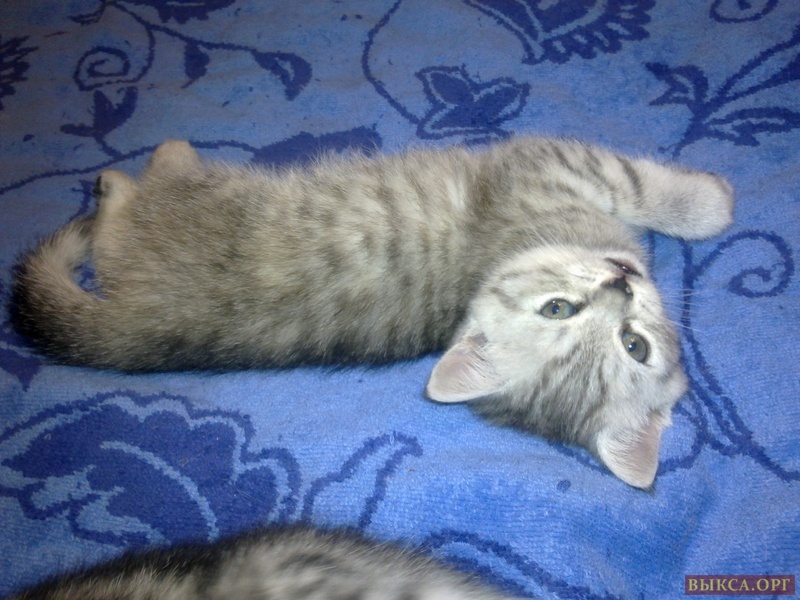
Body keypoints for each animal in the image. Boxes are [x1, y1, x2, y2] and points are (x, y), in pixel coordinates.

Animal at [12, 136, 734, 488]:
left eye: (634, 345)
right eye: (559, 309)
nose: (621, 285)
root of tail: (137, 332)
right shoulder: (552, 165)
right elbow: (639, 183)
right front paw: (709, 201)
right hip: (199, 201)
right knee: (129, 208)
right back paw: (139, 167)